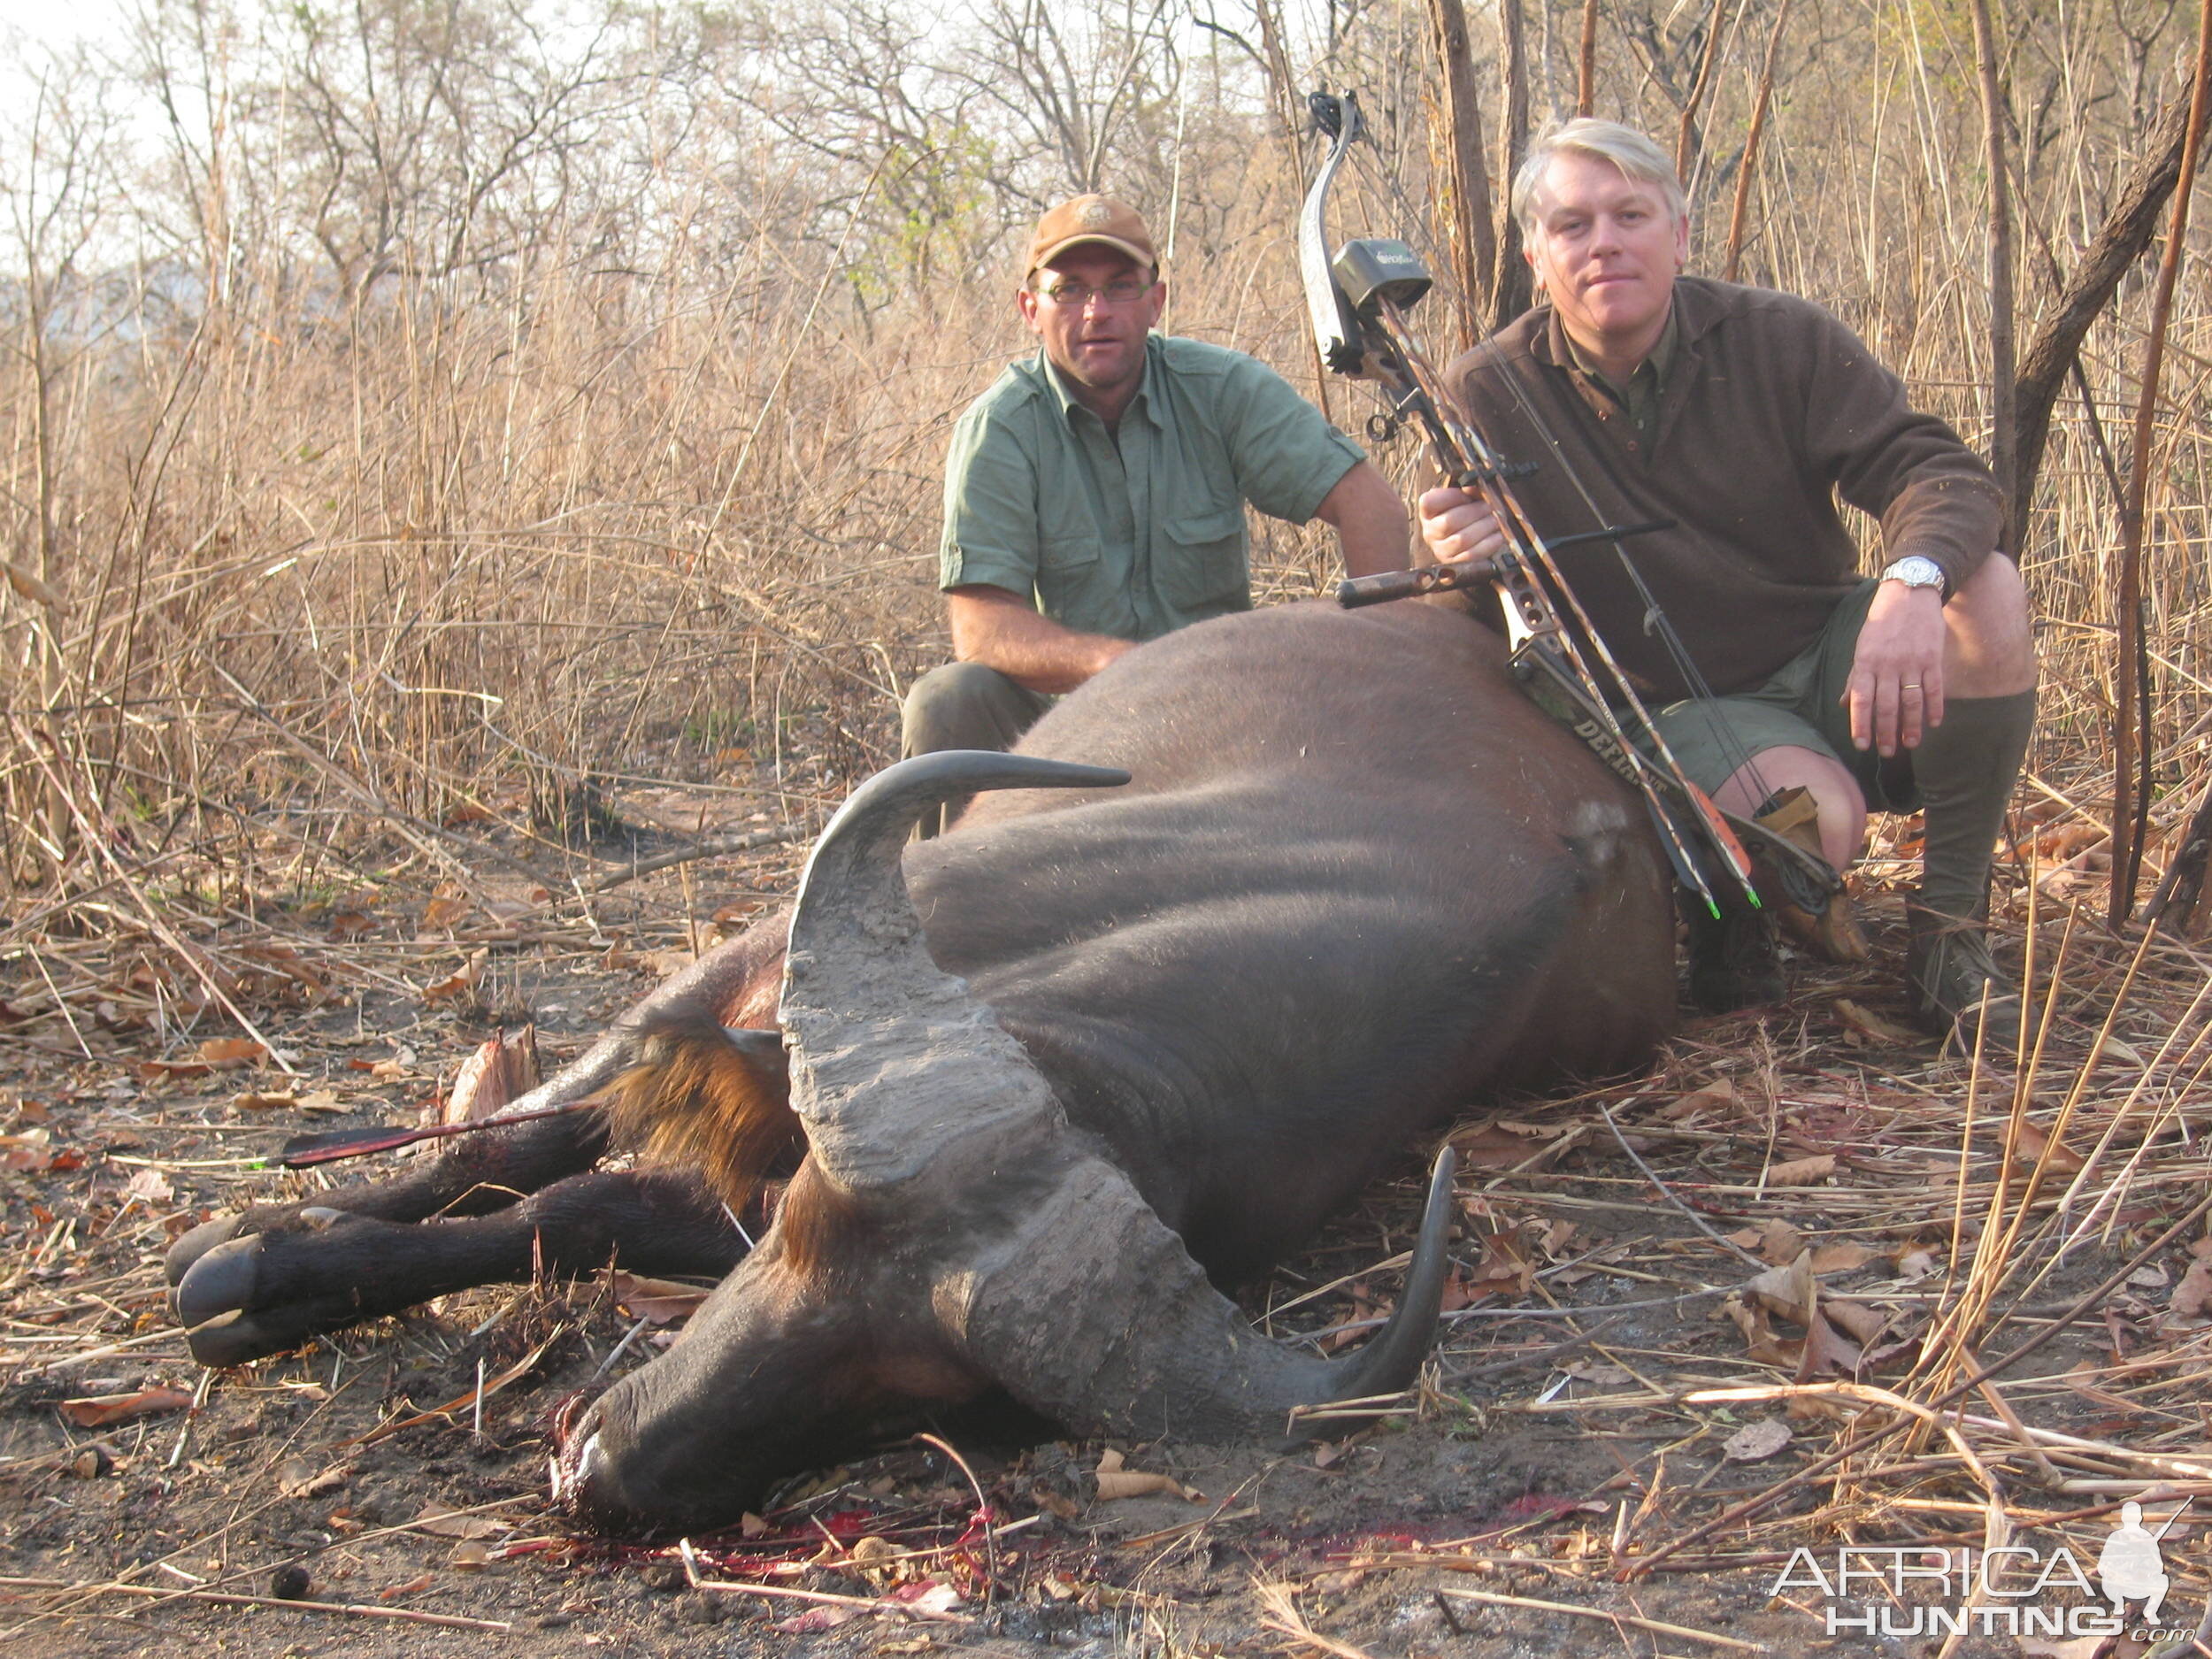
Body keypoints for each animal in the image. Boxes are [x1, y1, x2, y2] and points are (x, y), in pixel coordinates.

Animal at [164, 597, 1663, 1531]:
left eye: (914, 1388)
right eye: (796, 1229)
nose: (600, 1468)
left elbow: (581, 1213)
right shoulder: (742, 973)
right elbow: (533, 1150)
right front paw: (256, 1254)